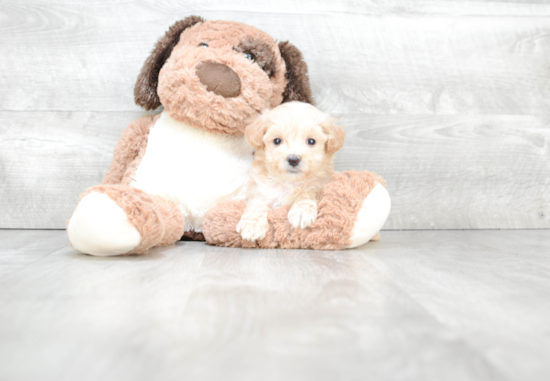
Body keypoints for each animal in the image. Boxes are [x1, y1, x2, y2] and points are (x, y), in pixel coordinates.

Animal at [236, 101, 344, 240]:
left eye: (311, 141)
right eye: (277, 141)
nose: (293, 159)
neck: (289, 182)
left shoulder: (320, 184)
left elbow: (307, 192)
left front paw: (301, 211)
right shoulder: (260, 190)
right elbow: (257, 203)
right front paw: (251, 225)